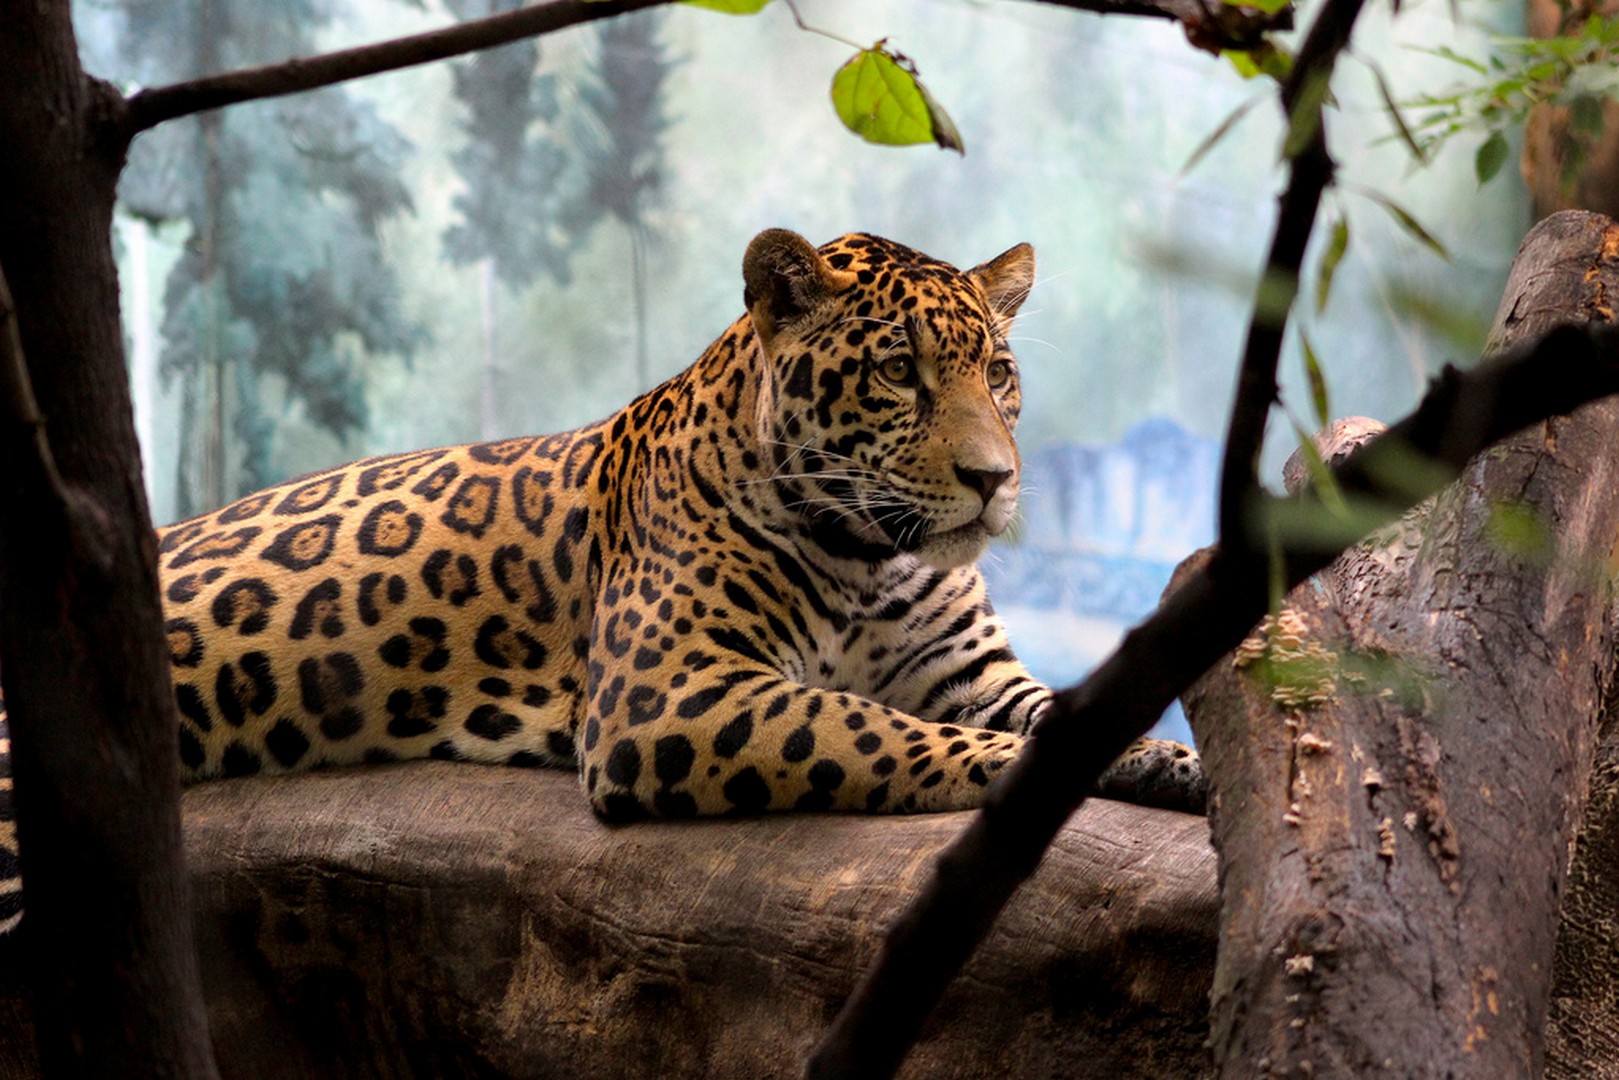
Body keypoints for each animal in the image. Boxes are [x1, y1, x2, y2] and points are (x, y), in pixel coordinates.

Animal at [0, 229, 1204, 931]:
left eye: (996, 373)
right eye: (899, 372)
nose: (993, 481)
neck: (873, 555)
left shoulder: (969, 674)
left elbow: (1060, 712)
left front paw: (1173, 768)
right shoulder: (665, 692)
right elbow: (880, 729)